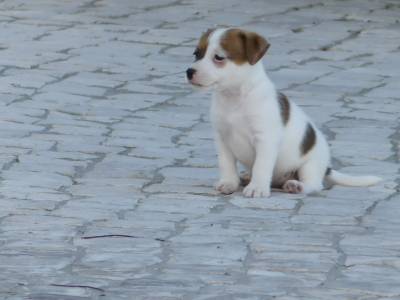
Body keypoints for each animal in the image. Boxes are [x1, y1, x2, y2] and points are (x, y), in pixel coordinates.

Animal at [187, 27, 382, 197]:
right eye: (197, 54)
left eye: (218, 57)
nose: (189, 71)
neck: (235, 97)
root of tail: (327, 168)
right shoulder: (222, 139)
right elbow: (226, 164)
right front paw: (229, 183)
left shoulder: (266, 140)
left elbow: (261, 166)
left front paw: (257, 188)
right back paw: (247, 177)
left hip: (309, 165)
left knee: (314, 184)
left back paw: (296, 186)